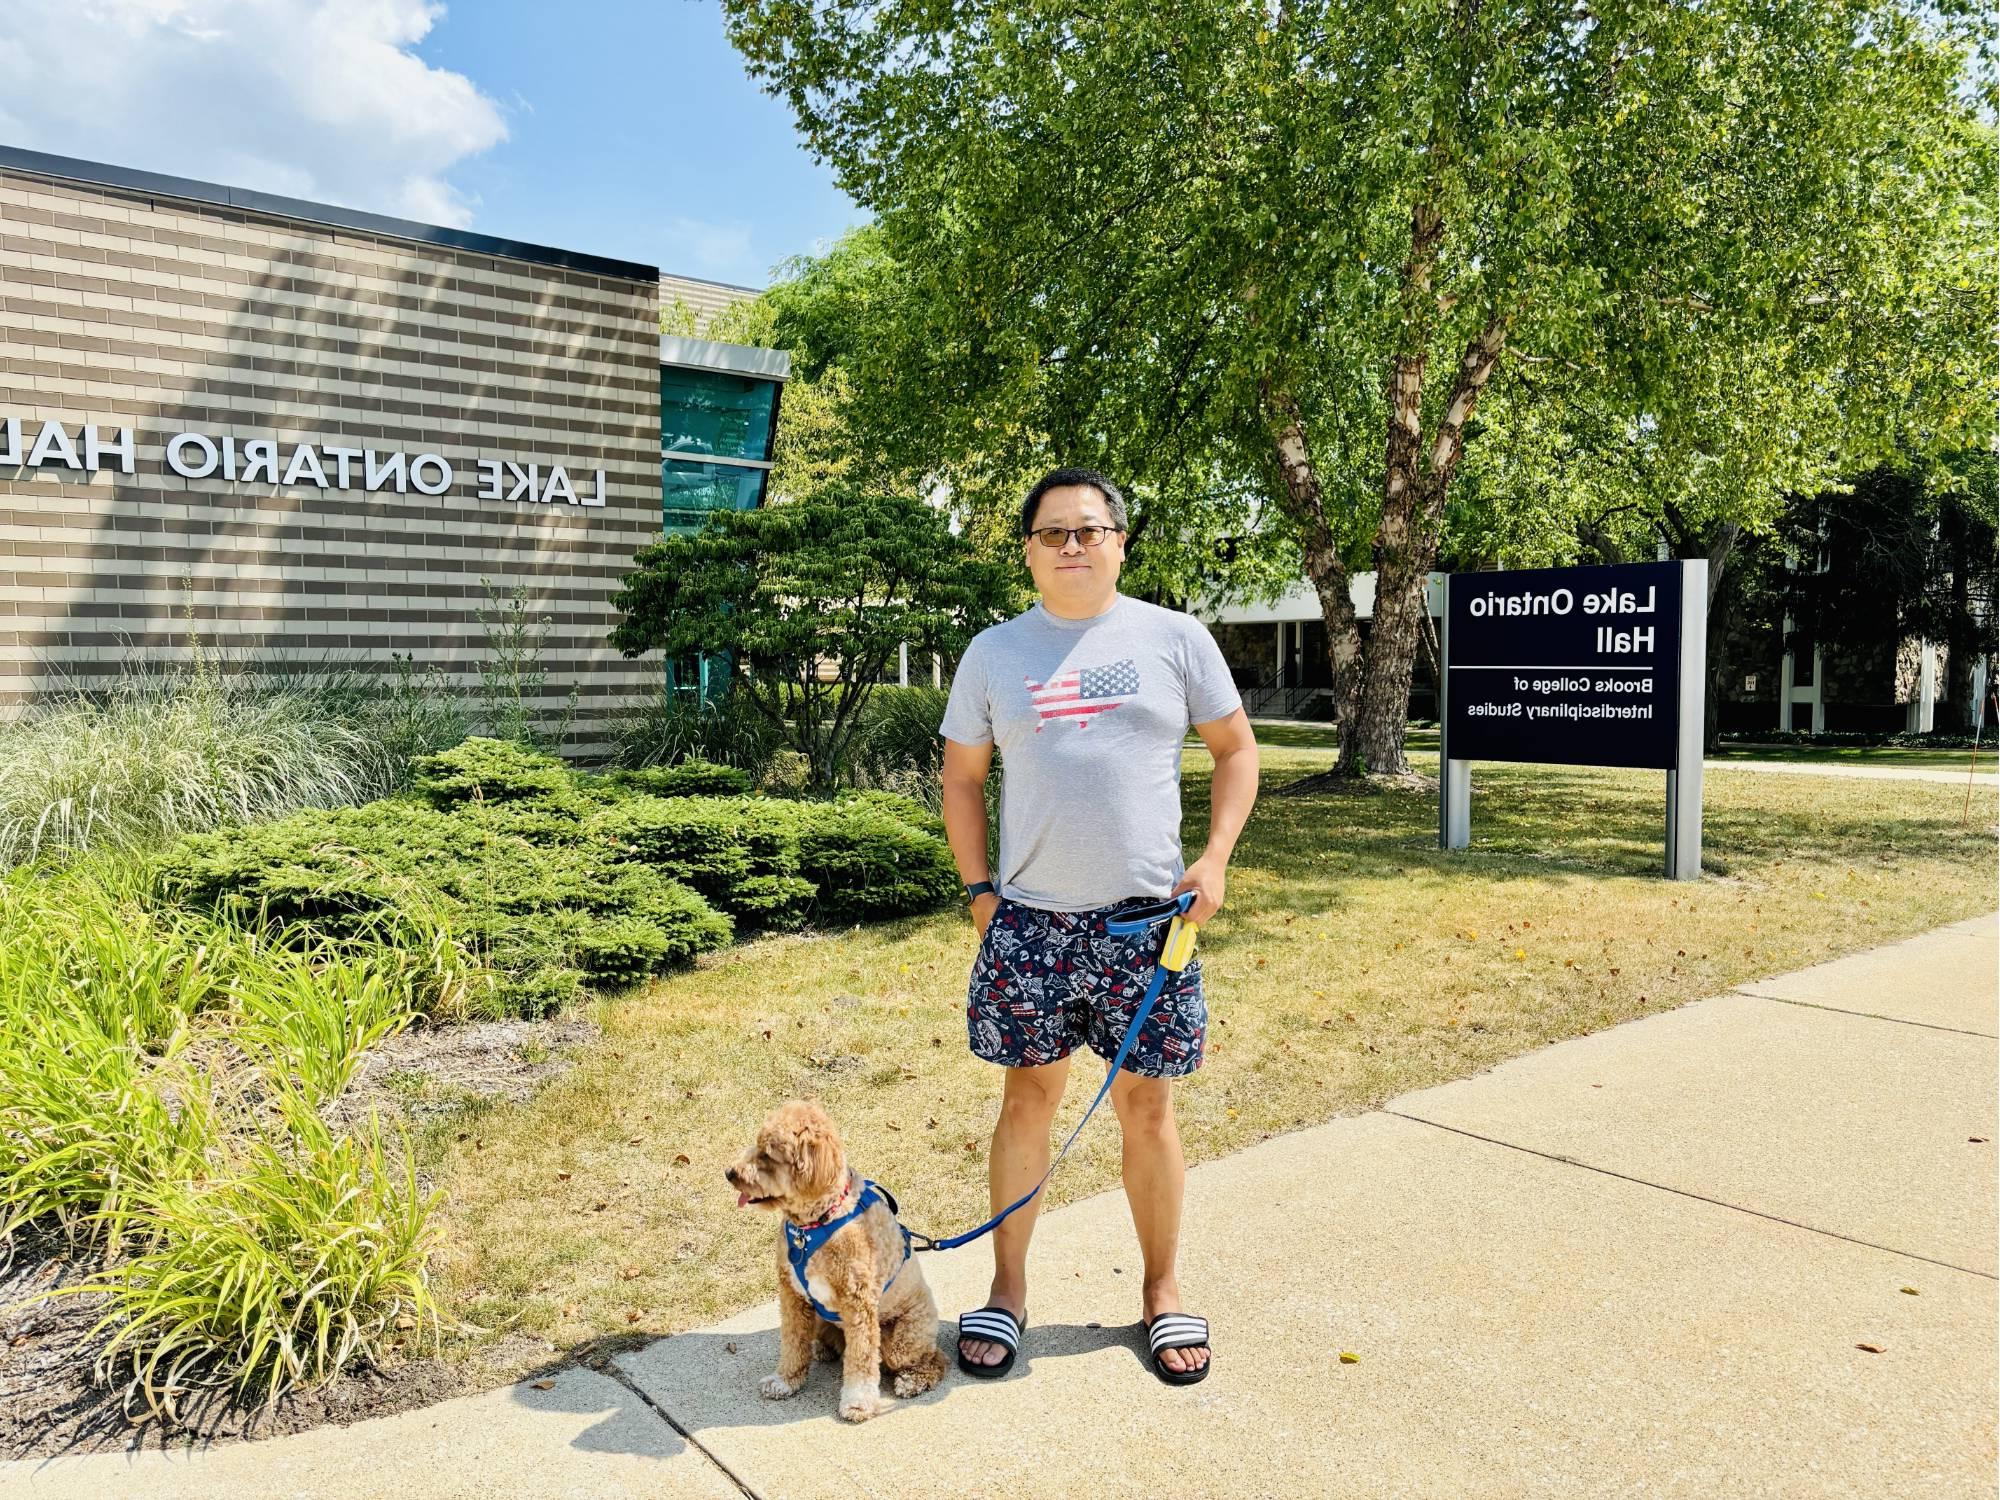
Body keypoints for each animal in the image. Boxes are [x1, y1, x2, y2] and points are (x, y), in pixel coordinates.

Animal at [724, 1096, 948, 1424]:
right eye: (756, 1144)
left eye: (768, 1154)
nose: (730, 1173)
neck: (815, 1223)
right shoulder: (792, 1296)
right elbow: (792, 1343)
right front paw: (785, 1381)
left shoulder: (858, 1305)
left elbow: (861, 1361)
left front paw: (858, 1403)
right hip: (820, 1319)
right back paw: (825, 1349)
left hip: (902, 1340)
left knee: (935, 1359)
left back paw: (912, 1381)